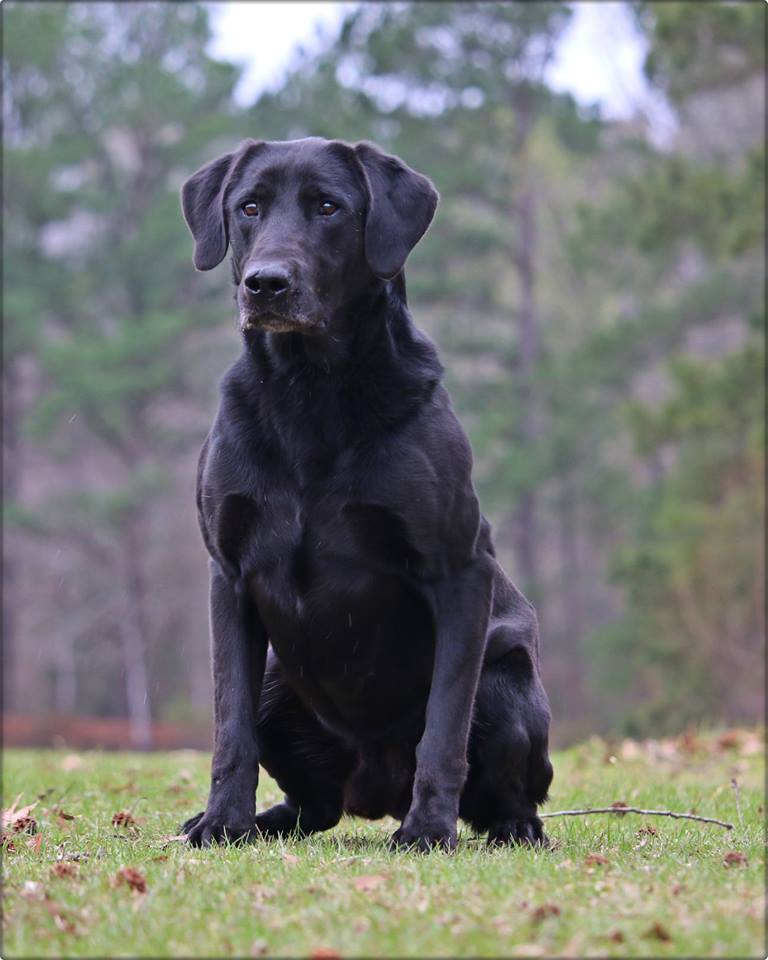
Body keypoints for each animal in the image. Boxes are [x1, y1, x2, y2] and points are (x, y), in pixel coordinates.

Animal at [180, 137, 552, 848]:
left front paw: (429, 829)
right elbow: (229, 728)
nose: (265, 283)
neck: (309, 391)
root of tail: (374, 791)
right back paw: (267, 821)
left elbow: (444, 726)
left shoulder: (460, 572)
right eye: (249, 207)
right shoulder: (227, 575)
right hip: (278, 683)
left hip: (507, 683)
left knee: (511, 794)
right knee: (313, 803)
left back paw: (507, 827)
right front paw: (221, 822)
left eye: (328, 207)